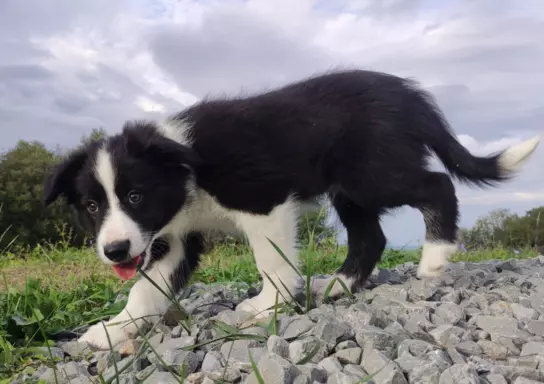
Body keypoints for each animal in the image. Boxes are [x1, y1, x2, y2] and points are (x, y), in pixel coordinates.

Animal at [43, 69, 540, 348]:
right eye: (92, 205)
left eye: (135, 196)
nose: (114, 251)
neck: (182, 162)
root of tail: (411, 96)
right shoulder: (169, 237)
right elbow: (145, 289)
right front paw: (112, 331)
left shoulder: (261, 201)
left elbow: (270, 259)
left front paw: (269, 304)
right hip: (350, 190)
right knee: (371, 235)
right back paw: (339, 285)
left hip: (371, 173)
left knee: (437, 186)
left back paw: (434, 257)